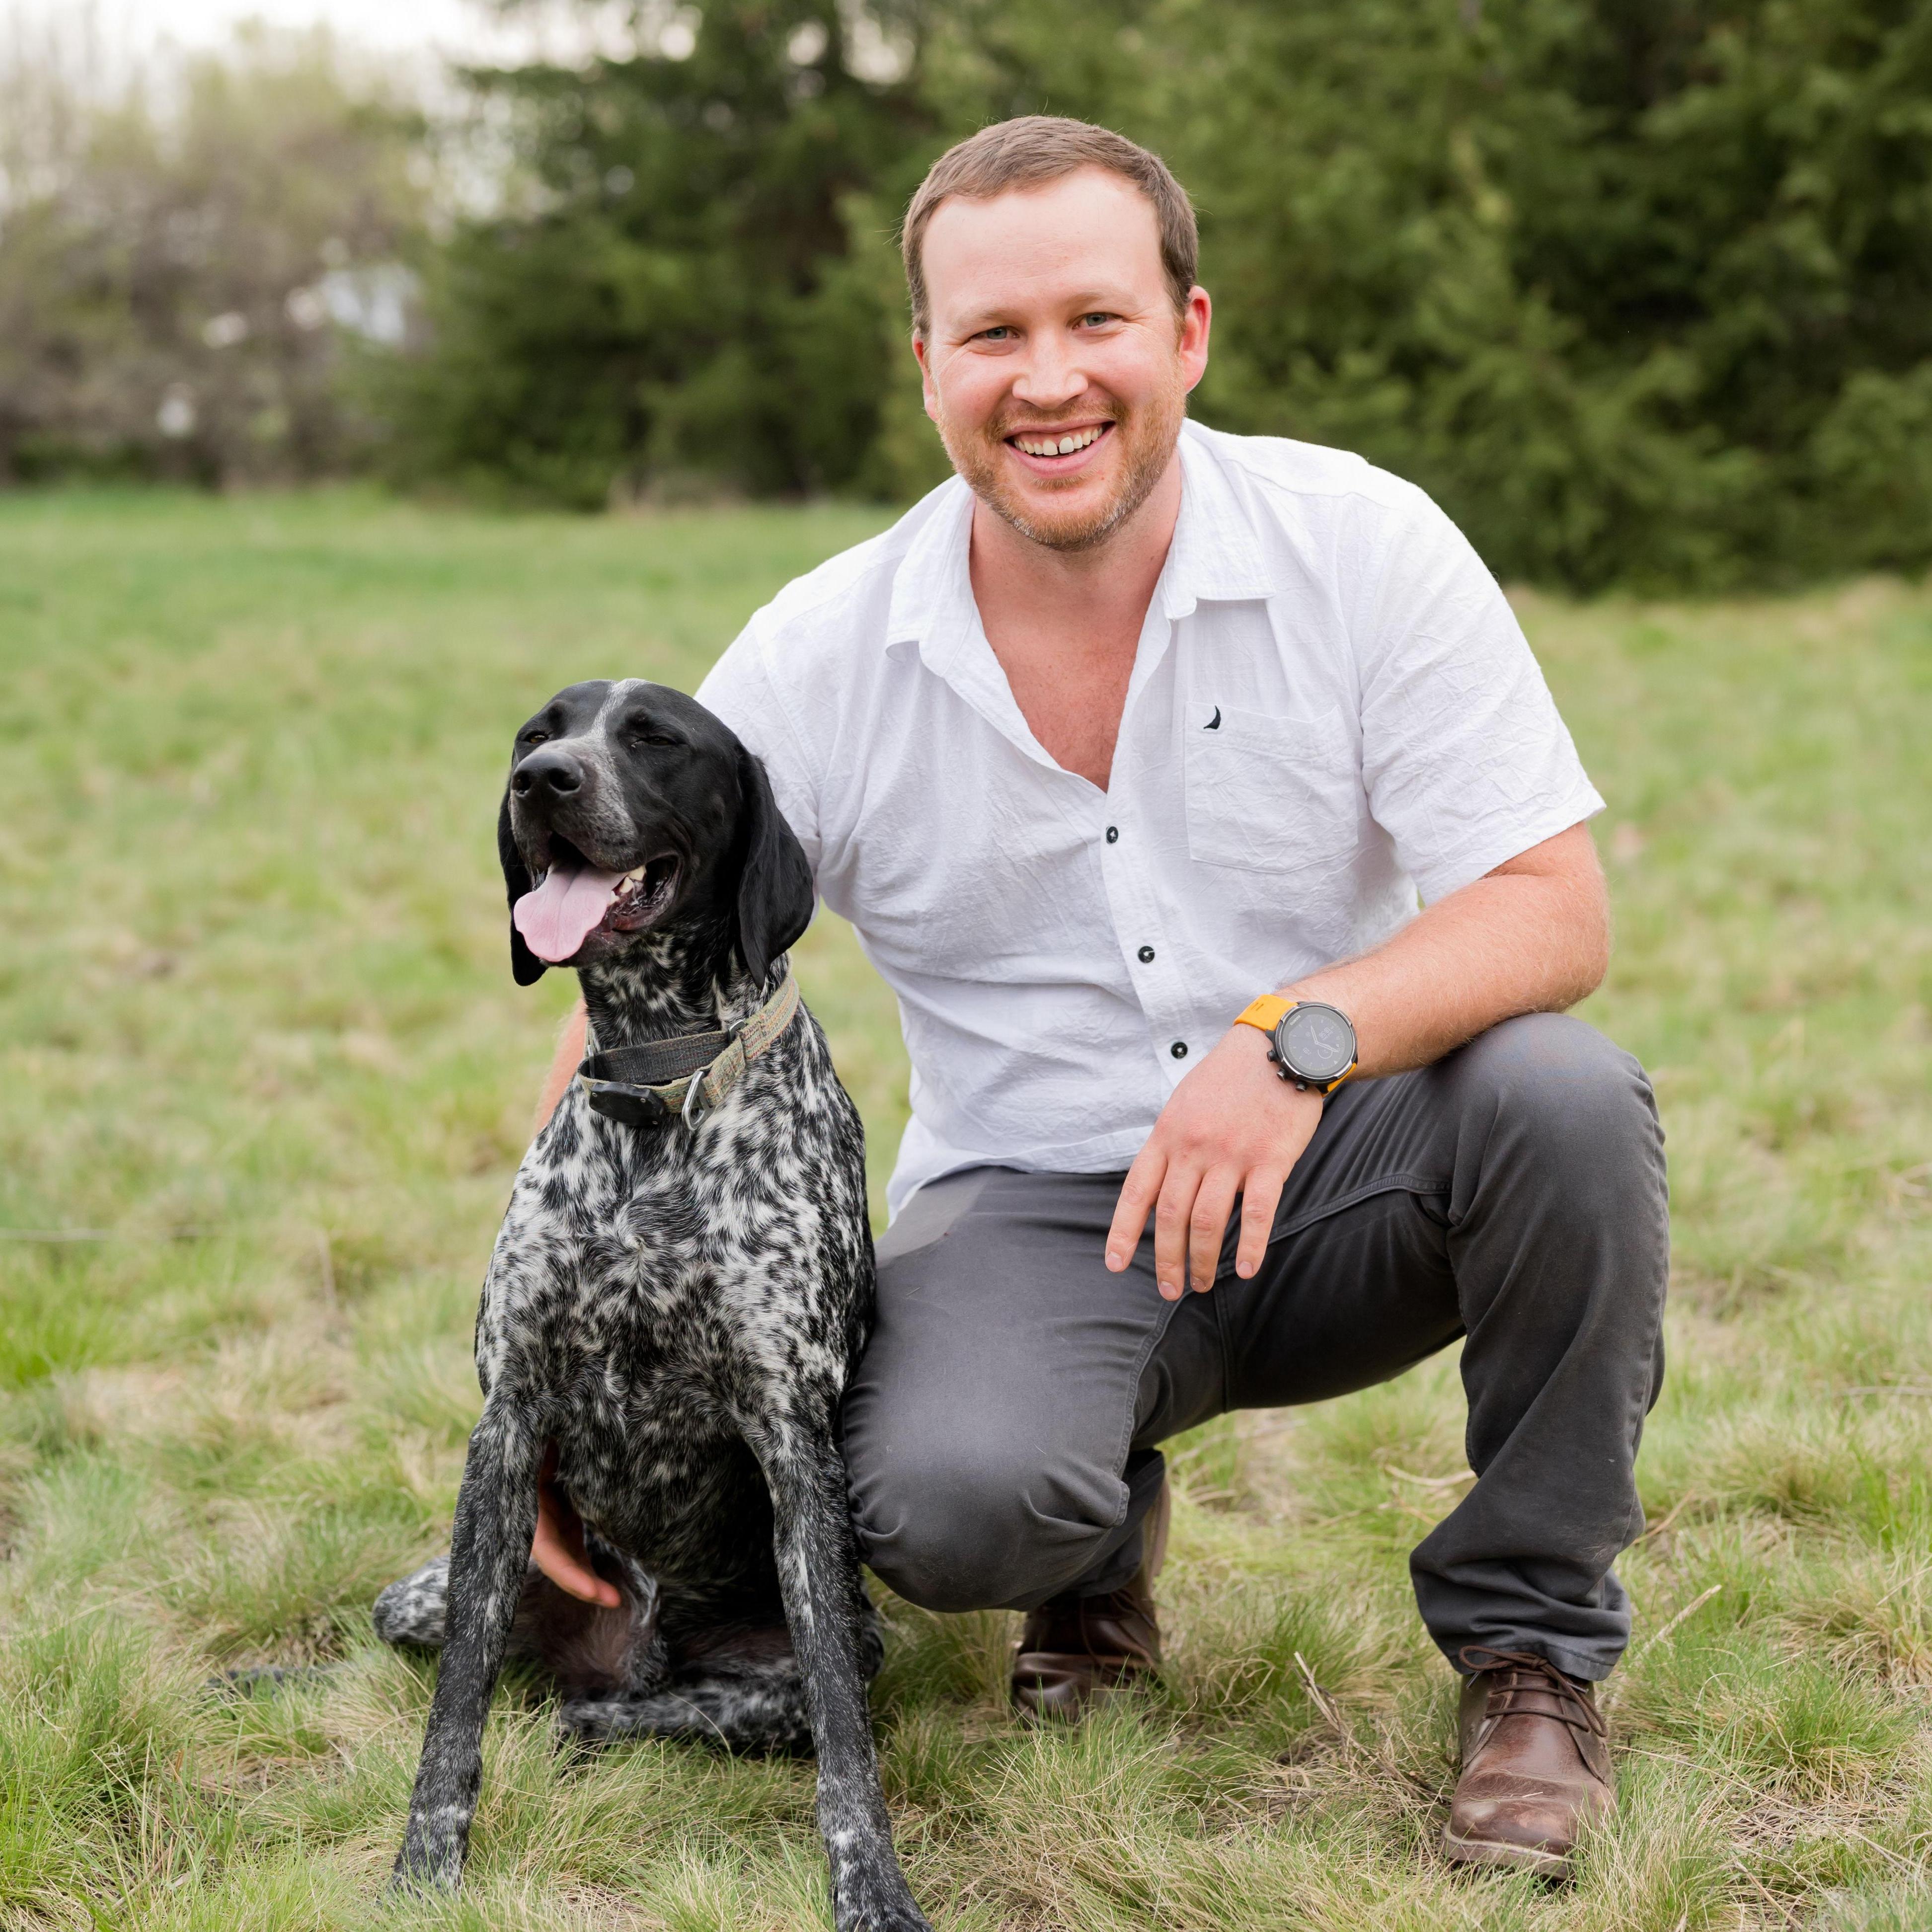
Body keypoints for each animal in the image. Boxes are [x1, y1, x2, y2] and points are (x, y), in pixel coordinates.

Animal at [373, 680, 931, 1932]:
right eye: (539, 734)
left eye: (657, 740)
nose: (543, 783)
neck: (654, 1096)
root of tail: (621, 1646)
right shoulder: (507, 1426)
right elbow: (454, 1711)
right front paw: (424, 1869)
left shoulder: (791, 1439)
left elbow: (844, 1746)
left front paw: (870, 1890)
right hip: (423, 1593)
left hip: (814, 1647)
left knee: (678, 1707)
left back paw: (595, 1719)